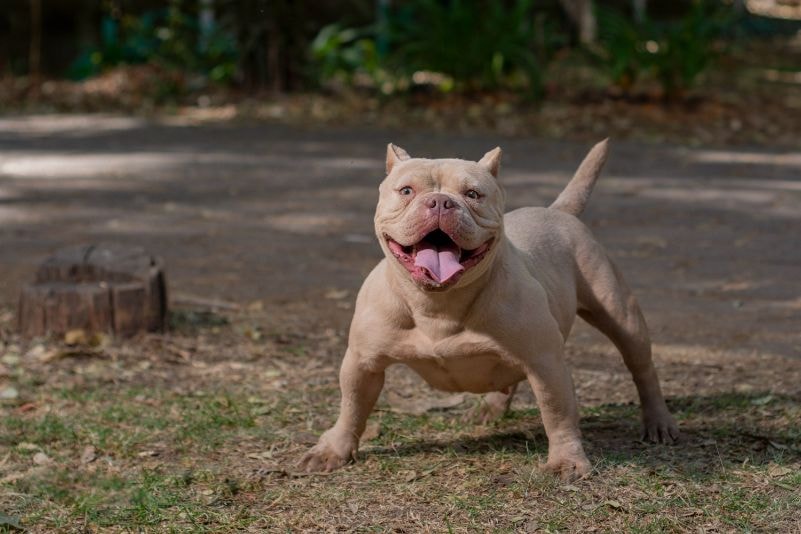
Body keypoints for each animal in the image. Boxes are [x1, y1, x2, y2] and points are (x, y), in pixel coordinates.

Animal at [298, 140, 676, 484]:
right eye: (406, 191)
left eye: (473, 194)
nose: (440, 201)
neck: (436, 304)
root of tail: (559, 211)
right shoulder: (362, 363)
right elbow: (352, 406)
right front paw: (333, 451)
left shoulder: (545, 362)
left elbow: (557, 413)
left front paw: (567, 461)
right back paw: (492, 407)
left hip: (620, 315)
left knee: (641, 367)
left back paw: (658, 422)